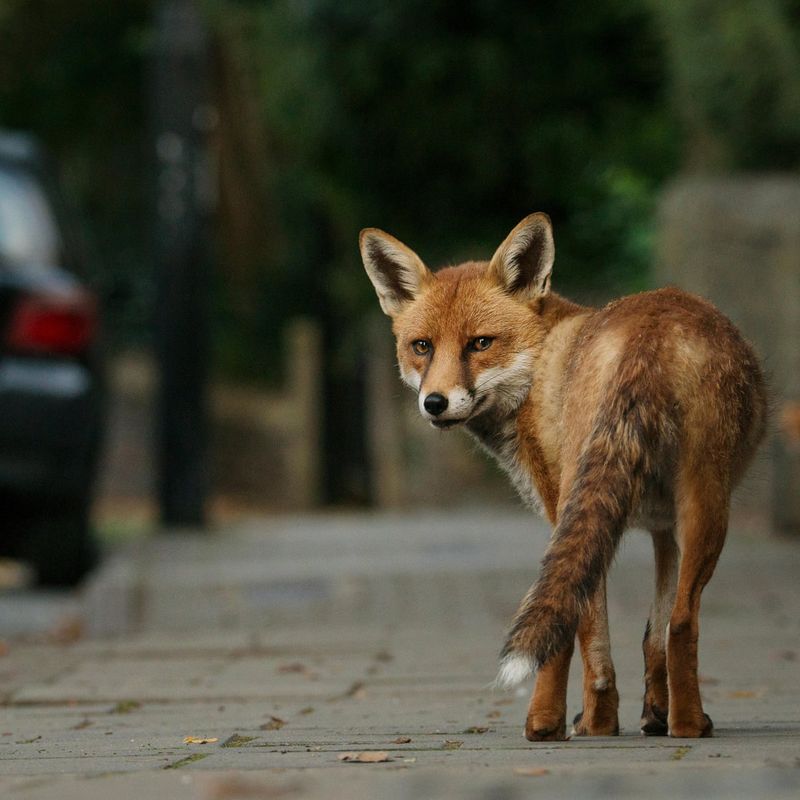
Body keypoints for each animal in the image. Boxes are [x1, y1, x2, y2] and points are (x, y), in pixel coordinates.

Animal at [360, 212, 767, 741]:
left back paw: (624, 724)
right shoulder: (662, 529)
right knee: (680, 622)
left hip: (610, 498)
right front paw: (652, 714)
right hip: (699, 503)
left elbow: (577, 632)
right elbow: (650, 636)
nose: (435, 403)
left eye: (481, 343)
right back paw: (684, 723)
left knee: (601, 622)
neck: (538, 368)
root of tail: (651, 329)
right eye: (422, 347)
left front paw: (553, 723)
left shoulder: (560, 512)